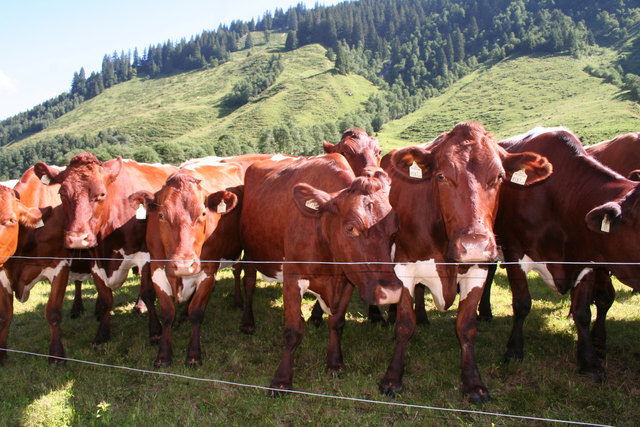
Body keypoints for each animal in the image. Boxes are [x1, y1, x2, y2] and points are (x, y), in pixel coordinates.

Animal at [33, 152, 176, 356]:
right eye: (62, 194)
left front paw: (155, 331)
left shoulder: (145, 255)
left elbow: (148, 293)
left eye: (101, 194)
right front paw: (101, 335)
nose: (77, 239)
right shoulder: (96, 261)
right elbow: (106, 298)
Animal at [129, 159, 244, 366]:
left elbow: (197, 312)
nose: (183, 265)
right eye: (161, 215)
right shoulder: (157, 268)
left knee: (237, 271)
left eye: (204, 213)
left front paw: (193, 354)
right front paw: (163, 355)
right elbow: (167, 313)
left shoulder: (209, 270)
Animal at [238, 155, 408, 396]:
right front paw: (281, 380)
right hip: (250, 250)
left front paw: (335, 363)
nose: (391, 292)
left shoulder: (348, 280)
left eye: (395, 231)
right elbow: (292, 332)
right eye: (350, 228)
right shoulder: (292, 276)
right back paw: (247, 323)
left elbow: (337, 322)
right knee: (249, 282)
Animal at [382, 122, 552, 402]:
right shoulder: (404, 266)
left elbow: (467, 327)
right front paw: (393, 378)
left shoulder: (478, 270)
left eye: (500, 177)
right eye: (441, 176)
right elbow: (405, 324)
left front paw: (473, 383)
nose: (474, 245)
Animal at [488, 125, 640, 382]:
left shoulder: (586, 259)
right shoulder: (513, 250)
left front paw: (589, 361)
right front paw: (514, 351)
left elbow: (583, 312)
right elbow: (522, 303)